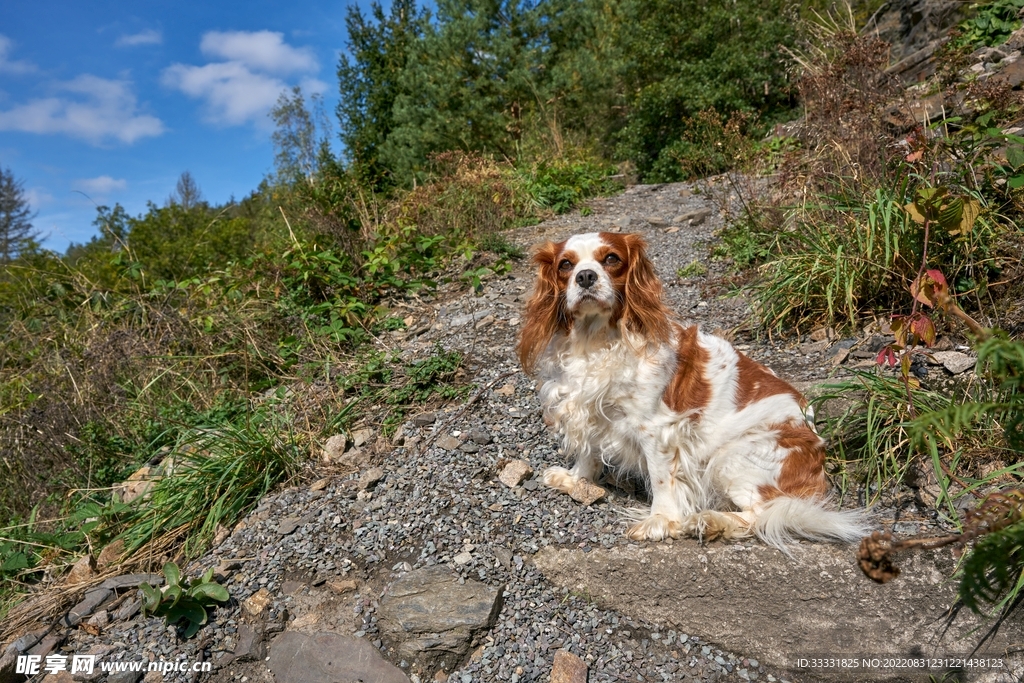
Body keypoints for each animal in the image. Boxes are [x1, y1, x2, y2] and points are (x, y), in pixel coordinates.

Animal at [516, 231, 868, 548]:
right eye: (566, 264)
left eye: (612, 259)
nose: (586, 276)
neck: (596, 341)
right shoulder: (587, 408)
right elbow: (588, 452)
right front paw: (575, 479)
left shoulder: (656, 429)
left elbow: (661, 479)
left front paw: (660, 520)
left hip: (733, 457)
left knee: (764, 514)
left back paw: (711, 522)